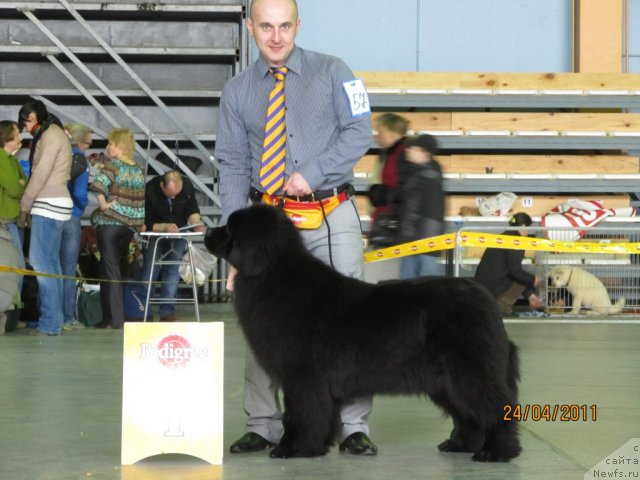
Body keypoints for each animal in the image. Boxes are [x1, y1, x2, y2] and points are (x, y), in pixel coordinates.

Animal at [208, 205, 524, 462]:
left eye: (230, 228)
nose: (209, 231)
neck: (273, 273)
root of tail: (485, 298)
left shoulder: (301, 375)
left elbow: (299, 414)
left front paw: (291, 449)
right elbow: (321, 414)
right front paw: (318, 446)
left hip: (469, 372)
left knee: (497, 408)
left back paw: (496, 452)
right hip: (445, 381)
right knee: (467, 415)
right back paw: (460, 445)